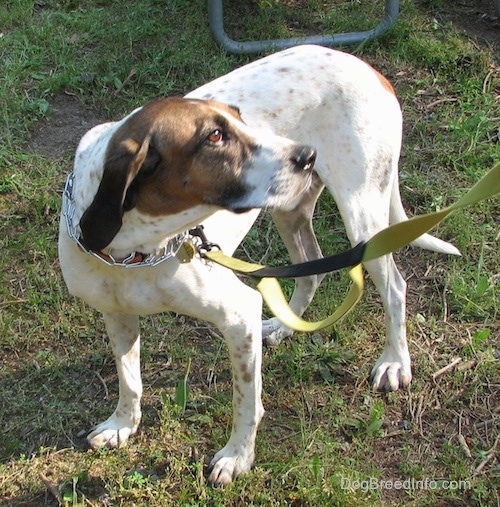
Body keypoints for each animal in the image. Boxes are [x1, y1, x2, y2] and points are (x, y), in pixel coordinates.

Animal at [57, 45, 458, 486]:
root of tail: (364, 65)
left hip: (362, 217)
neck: (136, 253)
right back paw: (285, 326)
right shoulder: (116, 313)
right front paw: (122, 425)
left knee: (395, 287)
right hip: (292, 211)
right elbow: (129, 379)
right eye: (214, 136)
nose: (307, 154)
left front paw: (237, 456)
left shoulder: (238, 314)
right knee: (312, 267)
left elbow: (245, 403)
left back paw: (394, 361)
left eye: (240, 118)